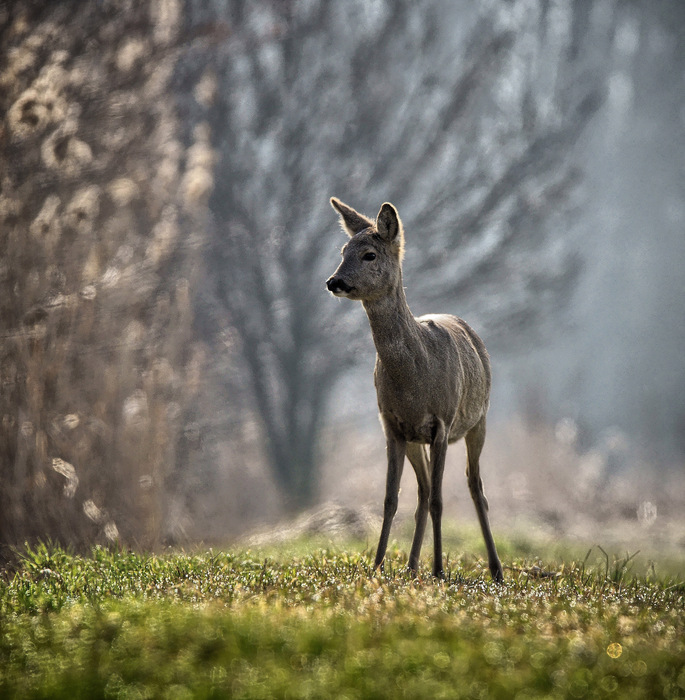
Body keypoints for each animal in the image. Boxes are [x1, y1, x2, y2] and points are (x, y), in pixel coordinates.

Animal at [326, 197, 502, 580]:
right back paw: (410, 566)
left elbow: (439, 500)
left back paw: (495, 569)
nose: (334, 281)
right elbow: (391, 499)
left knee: (474, 486)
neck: (412, 382)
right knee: (421, 492)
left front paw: (438, 571)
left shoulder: (442, 423)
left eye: (370, 254)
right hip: (414, 439)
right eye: (343, 250)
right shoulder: (392, 426)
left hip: (478, 421)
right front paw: (376, 567)